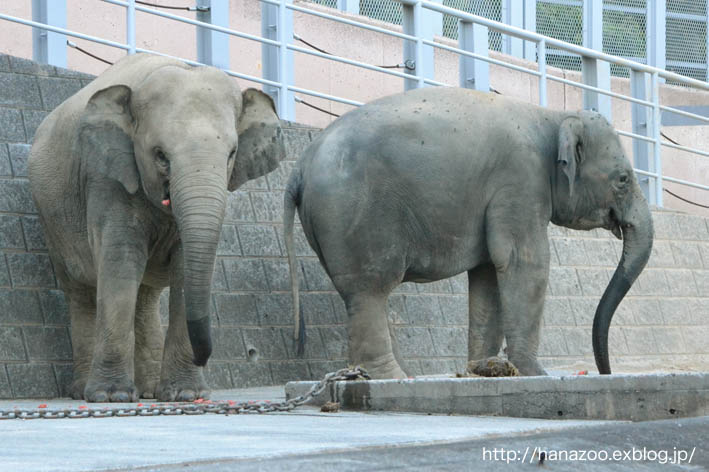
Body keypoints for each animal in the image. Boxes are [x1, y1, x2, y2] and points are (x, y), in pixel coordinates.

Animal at [29, 54, 284, 402]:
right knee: (80, 291)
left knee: (145, 295)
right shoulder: (106, 177)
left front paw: (185, 394)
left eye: (232, 154)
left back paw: (148, 391)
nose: (206, 356)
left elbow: (184, 268)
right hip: (52, 223)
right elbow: (120, 263)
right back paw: (82, 391)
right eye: (160, 155)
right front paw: (111, 396)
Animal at [284, 86, 652, 378]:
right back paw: (390, 378)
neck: (552, 116)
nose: (606, 371)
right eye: (623, 179)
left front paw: (486, 370)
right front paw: (534, 373)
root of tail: (299, 167)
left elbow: (489, 272)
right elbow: (523, 261)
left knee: (364, 296)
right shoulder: (520, 179)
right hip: (355, 212)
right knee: (370, 289)